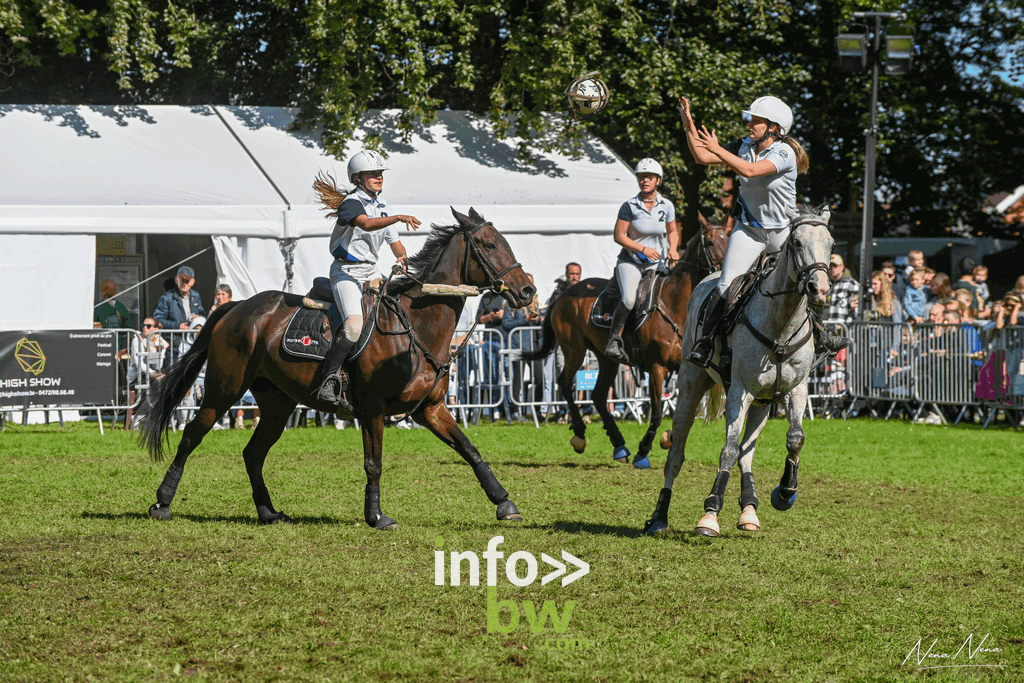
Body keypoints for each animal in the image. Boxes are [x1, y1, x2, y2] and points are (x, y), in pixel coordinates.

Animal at [142, 206, 536, 528]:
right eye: (488, 245)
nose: (528, 292)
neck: (416, 326)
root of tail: (237, 306)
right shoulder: (373, 408)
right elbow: (374, 462)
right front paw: (376, 516)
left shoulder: (430, 409)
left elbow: (470, 450)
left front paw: (504, 502)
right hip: (223, 389)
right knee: (192, 434)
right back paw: (162, 502)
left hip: (277, 402)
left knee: (253, 453)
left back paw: (268, 512)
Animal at [524, 215, 733, 471]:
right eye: (711, 242)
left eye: (728, 239)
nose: (726, 275)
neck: (675, 305)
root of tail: (564, 295)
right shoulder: (657, 368)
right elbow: (656, 413)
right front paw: (644, 451)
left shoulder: (684, 368)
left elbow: (684, 410)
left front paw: (667, 439)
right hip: (574, 350)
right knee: (564, 382)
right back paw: (580, 434)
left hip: (606, 358)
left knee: (598, 396)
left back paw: (619, 445)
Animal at [643, 205, 835, 536]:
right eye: (796, 243)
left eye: (831, 243)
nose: (819, 289)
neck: (781, 325)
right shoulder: (740, 391)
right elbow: (728, 450)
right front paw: (710, 513)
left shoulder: (795, 390)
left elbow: (794, 438)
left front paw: (785, 492)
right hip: (691, 387)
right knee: (676, 454)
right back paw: (659, 516)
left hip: (761, 403)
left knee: (747, 453)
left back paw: (749, 511)